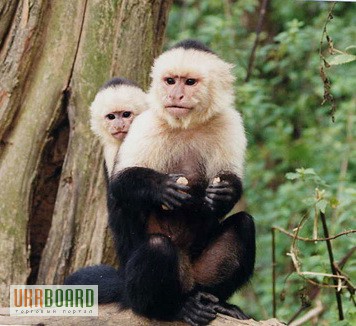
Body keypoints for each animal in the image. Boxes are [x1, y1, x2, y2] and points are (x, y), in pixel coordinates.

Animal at [65, 39, 254, 324]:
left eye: (189, 82)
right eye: (170, 80)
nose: (174, 95)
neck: (187, 125)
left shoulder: (229, 122)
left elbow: (230, 183)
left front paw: (226, 192)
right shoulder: (147, 124)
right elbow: (120, 184)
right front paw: (162, 188)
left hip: (198, 274)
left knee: (244, 225)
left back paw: (218, 302)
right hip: (140, 283)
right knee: (158, 249)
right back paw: (172, 309)